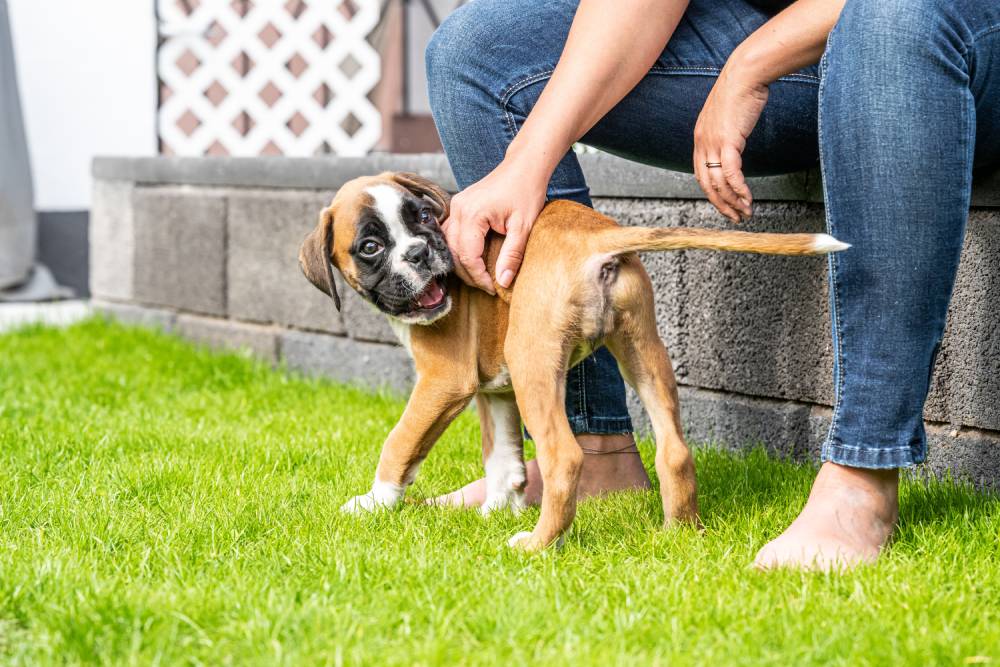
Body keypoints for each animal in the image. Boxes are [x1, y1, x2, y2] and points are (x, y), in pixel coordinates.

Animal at [296, 172, 844, 552]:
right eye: (370, 246)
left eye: (424, 219)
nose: (420, 252)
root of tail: (592, 238)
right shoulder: (495, 389)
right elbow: (502, 455)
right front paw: (497, 508)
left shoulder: (444, 383)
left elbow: (400, 443)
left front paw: (374, 503)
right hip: (643, 350)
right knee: (674, 450)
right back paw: (678, 535)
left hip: (534, 360)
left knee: (565, 457)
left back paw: (538, 545)